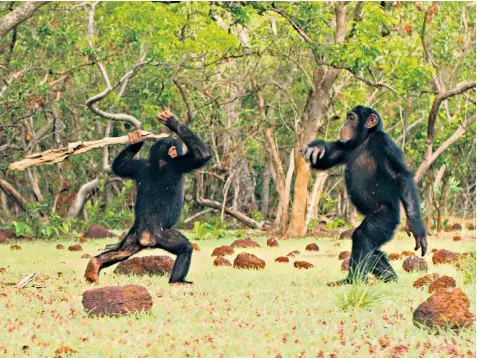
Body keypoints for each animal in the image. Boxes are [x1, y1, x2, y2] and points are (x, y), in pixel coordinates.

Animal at [84, 110, 211, 284]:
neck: (160, 161)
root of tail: (145, 236)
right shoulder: (179, 164)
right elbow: (202, 155)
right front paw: (172, 121)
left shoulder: (138, 165)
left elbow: (119, 166)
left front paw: (136, 140)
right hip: (162, 236)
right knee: (185, 249)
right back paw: (178, 281)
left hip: (133, 237)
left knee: (122, 252)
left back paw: (94, 265)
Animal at [300, 105, 426, 286]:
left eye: (352, 118)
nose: (345, 123)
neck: (365, 140)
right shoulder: (346, 147)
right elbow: (328, 158)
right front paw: (317, 147)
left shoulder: (384, 142)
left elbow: (400, 176)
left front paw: (416, 226)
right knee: (372, 250)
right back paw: (390, 277)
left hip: (387, 217)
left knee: (363, 237)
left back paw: (352, 280)